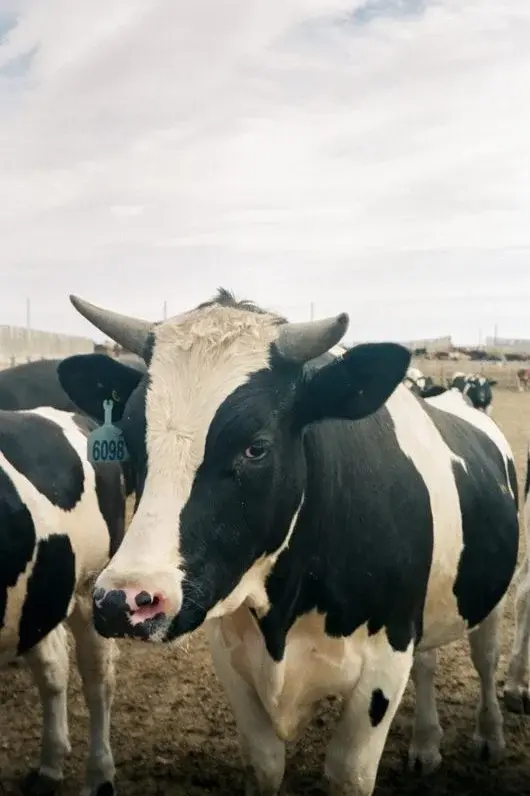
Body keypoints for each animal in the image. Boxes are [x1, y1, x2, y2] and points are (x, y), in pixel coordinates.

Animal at [0, 405, 125, 796]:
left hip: (90, 588)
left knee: (98, 678)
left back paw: (99, 777)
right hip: (36, 600)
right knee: (53, 667)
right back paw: (50, 767)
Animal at [56, 290, 519, 796]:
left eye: (255, 447)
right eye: (129, 440)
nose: (123, 601)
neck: (282, 612)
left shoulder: (386, 658)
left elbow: (348, 773)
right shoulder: (232, 655)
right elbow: (265, 764)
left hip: (489, 598)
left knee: (485, 657)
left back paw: (490, 737)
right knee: (429, 662)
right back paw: (425, 745)